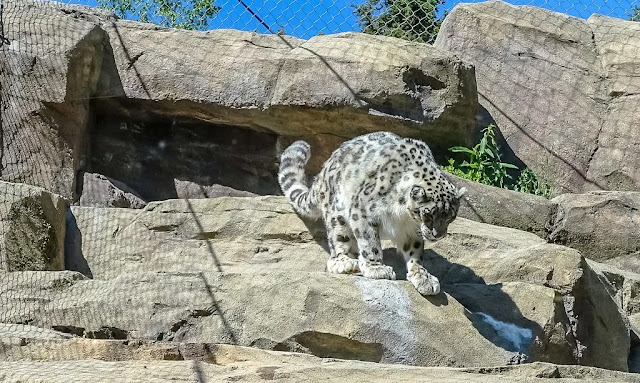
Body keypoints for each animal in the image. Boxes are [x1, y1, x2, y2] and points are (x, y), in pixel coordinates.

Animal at [278, 132, 468, 296]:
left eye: (450, 216)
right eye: (428, 215)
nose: (438, 235)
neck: (403, 215)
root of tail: (324, 170)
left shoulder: (410, 229)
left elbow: (415, 251)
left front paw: (423, 276)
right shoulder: (362, 210)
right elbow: (370, 243)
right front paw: (376, 268)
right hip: (337, 212)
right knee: (337, 242)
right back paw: (346, 262)